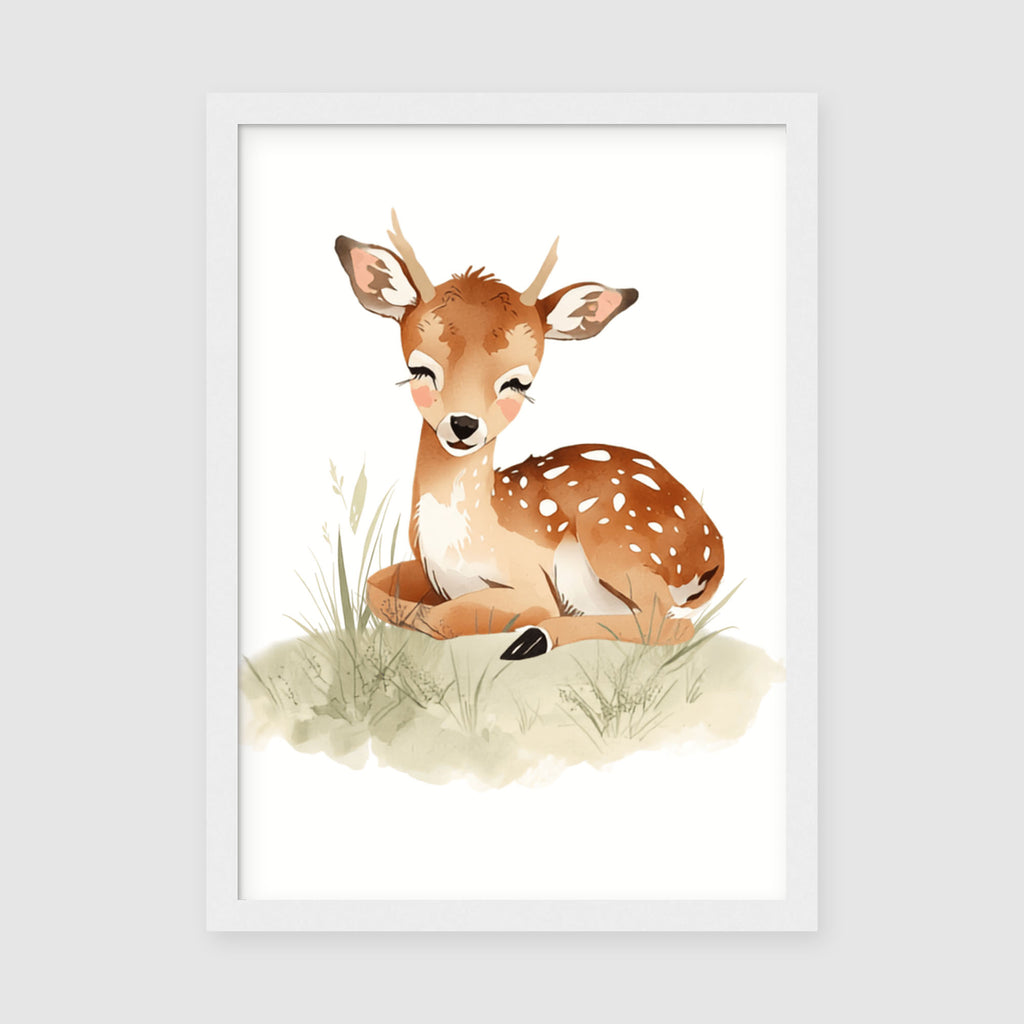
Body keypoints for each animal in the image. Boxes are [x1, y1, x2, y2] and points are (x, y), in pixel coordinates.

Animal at [334, 212, 723, 660]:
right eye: (420, 369)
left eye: (519, 382)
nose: (463, 425)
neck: (460, 545)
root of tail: (715, 552)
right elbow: (380, 591)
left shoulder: (534, 585)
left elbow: (441, 617)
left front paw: (524, 630)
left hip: (615, 541)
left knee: (669, 624)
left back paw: (534, 639)